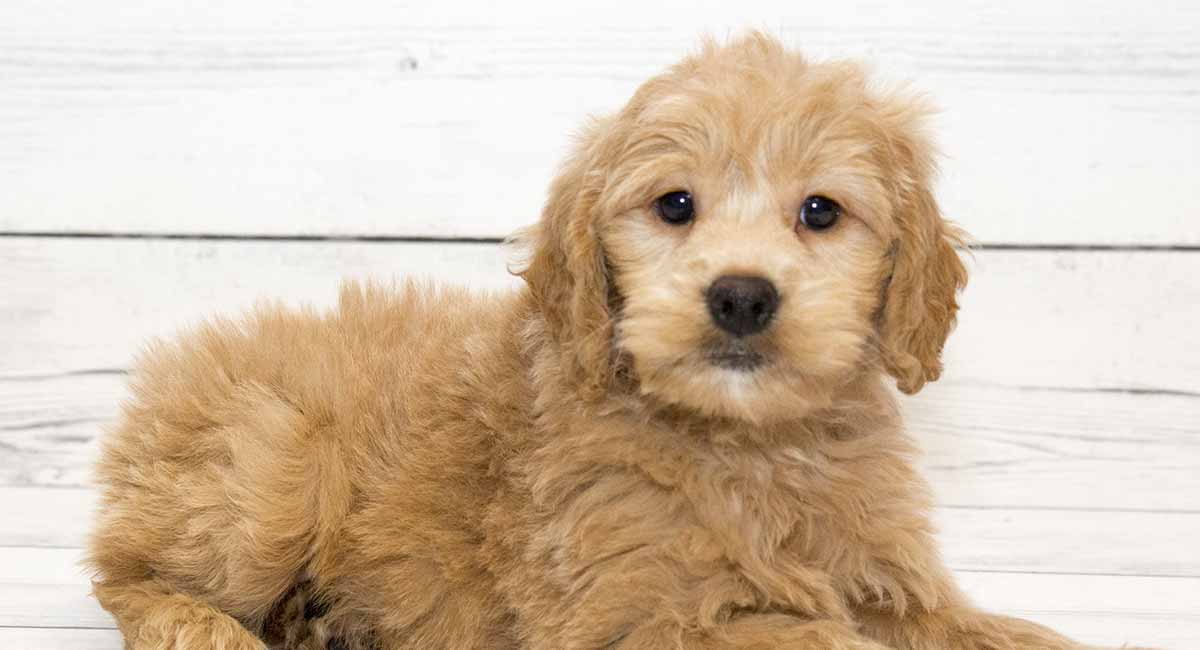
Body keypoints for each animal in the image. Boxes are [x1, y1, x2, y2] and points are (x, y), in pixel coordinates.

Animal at [88, 34, 1118, 650]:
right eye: (675, 205)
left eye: (821, 211)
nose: (741, 297)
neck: (748, 447)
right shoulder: (628, 615)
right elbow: (786, 630)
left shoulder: (889, 580)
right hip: (268, 467)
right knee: (123, 571)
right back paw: (212, 627)